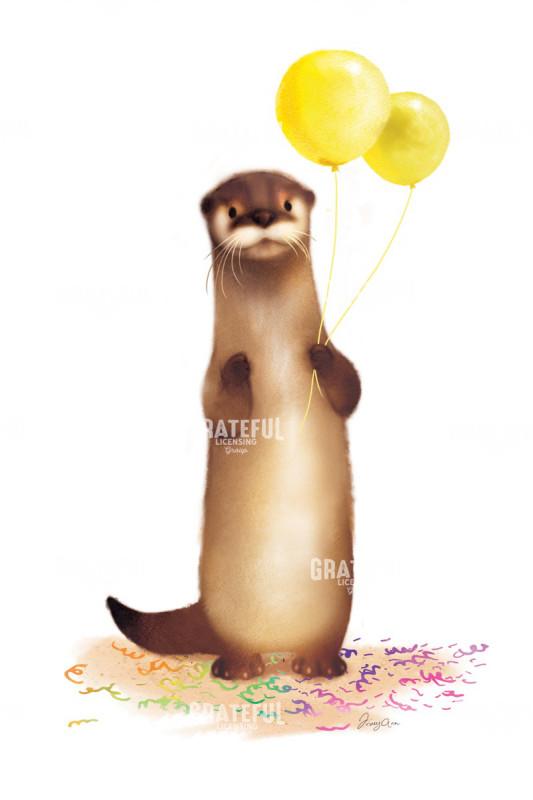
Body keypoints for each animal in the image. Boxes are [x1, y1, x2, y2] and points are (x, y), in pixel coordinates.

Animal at [107, 170, 361, 679]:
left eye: (286, 203)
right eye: (232, 210)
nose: (262, 215)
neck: (276, 352)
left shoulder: (338, 354)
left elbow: (351, 387)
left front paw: (318, 359)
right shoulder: (206, 384)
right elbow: (221, 411)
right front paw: (240, 370)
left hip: (335, 605)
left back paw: (319, 664)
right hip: (229, 613)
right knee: (238, 643)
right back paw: (240, 667)